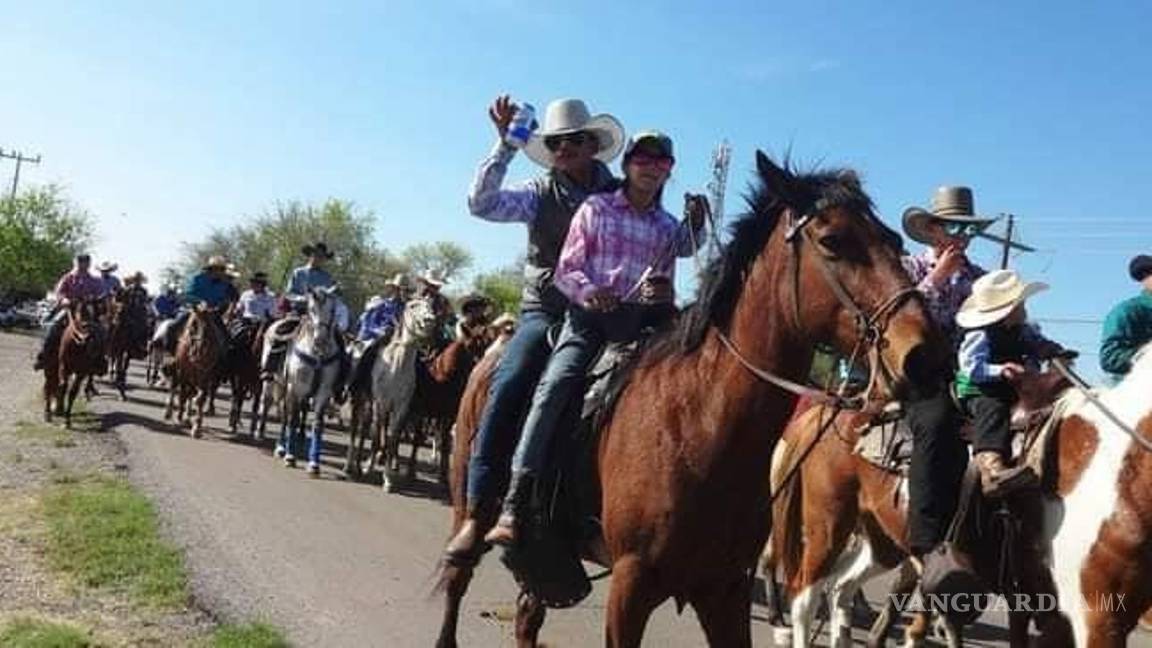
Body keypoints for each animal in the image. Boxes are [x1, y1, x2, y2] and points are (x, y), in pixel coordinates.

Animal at [45, 299, 107, 428]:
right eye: (81, 312)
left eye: (97, 314)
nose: (87, 337)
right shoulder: (72, 369)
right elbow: (67, 388)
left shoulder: (74, 371)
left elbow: (67, 390)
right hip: (61, 369)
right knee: (56, 387)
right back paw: (56, 414)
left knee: (55, 386)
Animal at [164, 304, 226, 435]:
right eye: (193, 324)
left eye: (209, 327)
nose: (199, 351)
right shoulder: (183, 372)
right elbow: (183, 395)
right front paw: (179, 417)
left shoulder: (206, 376)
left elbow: (200, 399)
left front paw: (196, 426)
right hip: (178, 371)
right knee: (175, 387)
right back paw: (170, 412)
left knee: (191, 393)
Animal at [275, 285, 343, 475]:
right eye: (311, 309)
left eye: (332, 310)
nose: (320, 339)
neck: (317, 355)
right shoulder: (295, 388)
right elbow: (292, 419)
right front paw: (290, 456)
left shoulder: (323, 393)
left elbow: (318, 424)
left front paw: (314, 463)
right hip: (284, 387)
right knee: (286, 415)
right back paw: (281, 447)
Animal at [340, 297, 435, 488]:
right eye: (413, 306)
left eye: (430, 305)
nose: (429, 320)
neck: (395, 367)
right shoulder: (381, 403)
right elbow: (377, 436)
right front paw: (369, 467)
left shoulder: (400, 408)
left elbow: (392, 440)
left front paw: (388, 478)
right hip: (359, 399)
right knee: (355, 429)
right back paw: (349, 466)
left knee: (364, 429)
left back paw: (358, 465)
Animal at [433, 152, 944, 645]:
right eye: (833, 239)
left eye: (894, 242)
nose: (925, 356)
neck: (699, 420)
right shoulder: (631, 586)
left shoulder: (724, 589)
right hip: (466, 502)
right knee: (458, 581)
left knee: (527, 614)